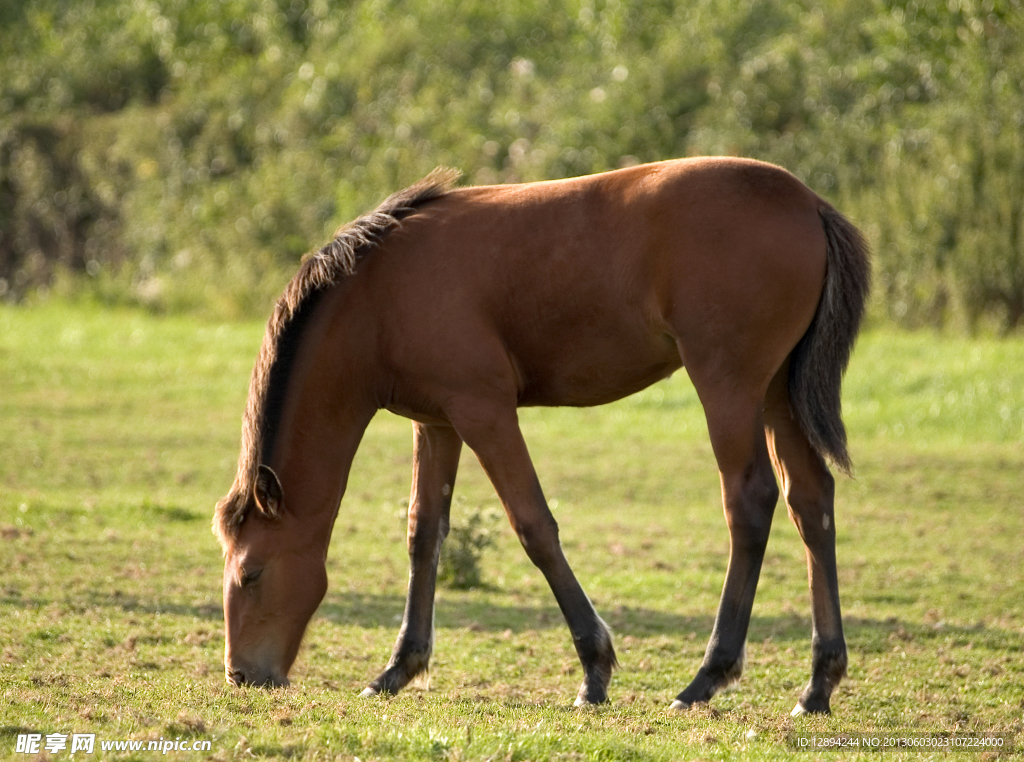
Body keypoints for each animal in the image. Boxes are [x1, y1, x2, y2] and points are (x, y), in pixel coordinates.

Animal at [211, 156, 868, 712]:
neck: (379, 294)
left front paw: (595, 671)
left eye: (251, 573)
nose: (242, 675)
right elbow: (425, 534)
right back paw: (818, 683)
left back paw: (707, 676)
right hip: (777, 393)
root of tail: (808, 202)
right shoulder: (438, 422)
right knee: (811, 502)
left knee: (749, 502)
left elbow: (534, 528)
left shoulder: (485, 411)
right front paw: (399, 668)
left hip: (728, 387)